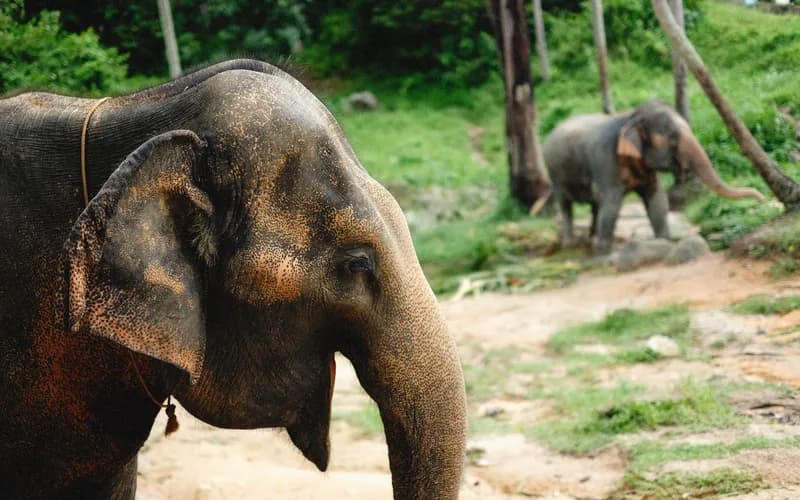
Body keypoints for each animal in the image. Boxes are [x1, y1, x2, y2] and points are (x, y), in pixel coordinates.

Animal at [542, 99, 765, 254]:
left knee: (595, 205)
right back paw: (571, 245)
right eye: (672, 137)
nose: (761, 197)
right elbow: (612, 204)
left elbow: (657, 199)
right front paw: (604, 255)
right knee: (566, 204)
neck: (630, 117)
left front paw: (664, 242)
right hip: (555, 174)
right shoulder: (605, 161)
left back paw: (590, 239)